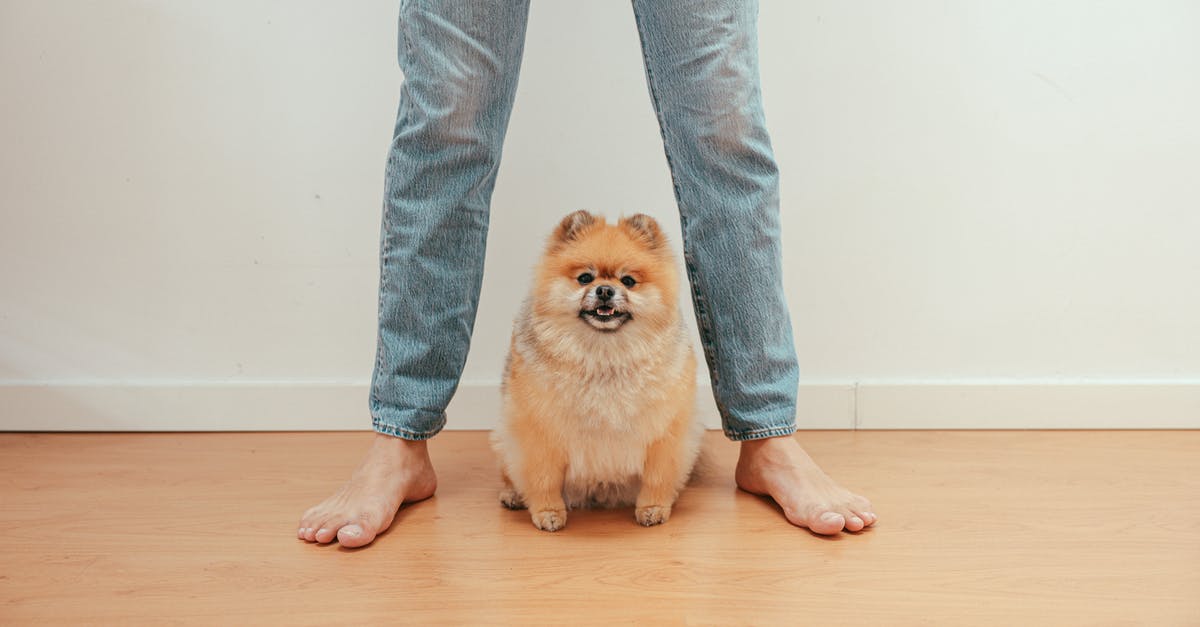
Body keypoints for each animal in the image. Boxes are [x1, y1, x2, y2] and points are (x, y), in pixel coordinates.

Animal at [492, 209, 705, 526]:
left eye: (628, 281)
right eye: (584, 278)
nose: (605, 290)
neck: (604, 356)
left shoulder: (664, 431)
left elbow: (657, 476)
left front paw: (653, 508)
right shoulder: (539, 430)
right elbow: (543, 477)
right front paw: (548, 512)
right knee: (510, 470)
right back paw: (514, 495)